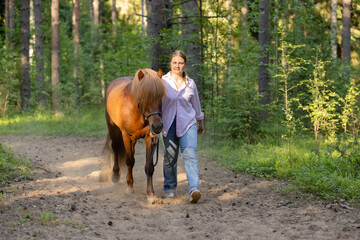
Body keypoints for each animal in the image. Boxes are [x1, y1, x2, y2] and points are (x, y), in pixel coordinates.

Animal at [104, 68, 166, 202]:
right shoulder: (126, 136)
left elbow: (149, 167)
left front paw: (150, 194)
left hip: (134, 139)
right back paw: (115, 175)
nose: (157, 126)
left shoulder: (149, 138)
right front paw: (130, 187)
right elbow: (129, 161)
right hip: (113, 128)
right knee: (115, 148)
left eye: (161, 96)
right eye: (143, 97)